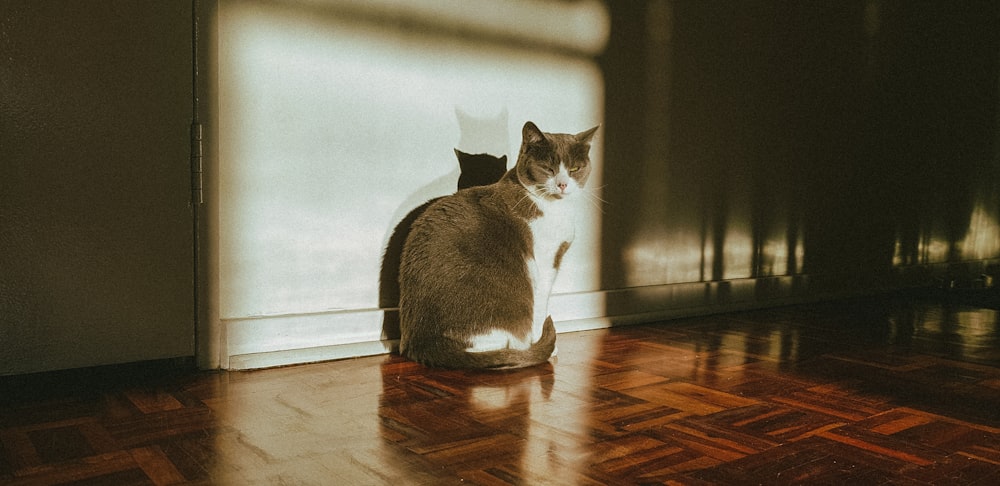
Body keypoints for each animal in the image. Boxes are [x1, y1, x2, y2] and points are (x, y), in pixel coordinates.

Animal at [398, 121, 600, 368]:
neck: (556, 208)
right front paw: (545, 345)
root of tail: (424, 342)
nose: (562, 184)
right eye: (547, 169)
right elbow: (540, 308)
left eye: (574, 169)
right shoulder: (544, 263)